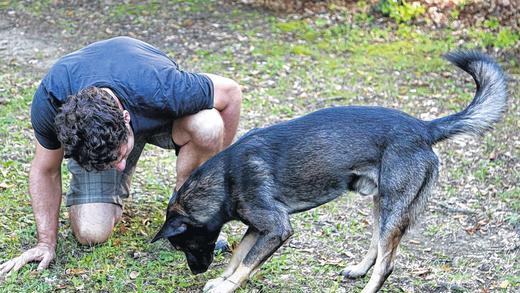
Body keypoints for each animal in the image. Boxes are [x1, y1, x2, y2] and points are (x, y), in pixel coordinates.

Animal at [151, 52, 508, 292]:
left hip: (394, 208)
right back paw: (359, 269)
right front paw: (222, 279)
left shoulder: (276, 228)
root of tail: (424, 127)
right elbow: (239, 254)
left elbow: (247, 262)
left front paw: (227, 285)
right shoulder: (257, 227)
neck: (225, 177)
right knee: (378, 245)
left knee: (387, 263)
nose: (196, 272)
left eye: (184, 246)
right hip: (382, 205)